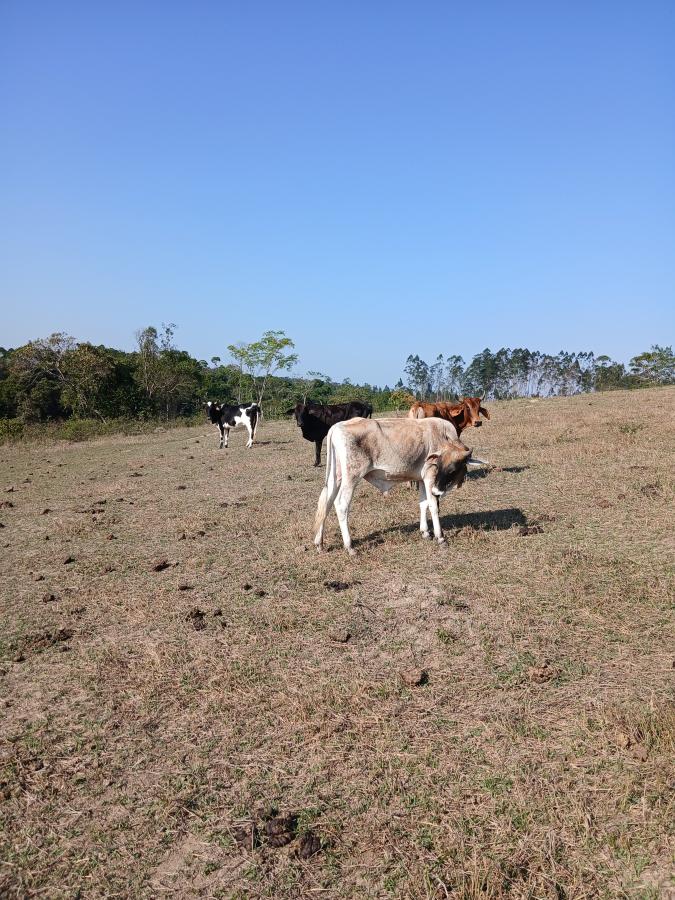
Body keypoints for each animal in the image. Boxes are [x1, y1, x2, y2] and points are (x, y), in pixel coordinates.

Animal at [314, 416, 488, 556]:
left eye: (452, 469)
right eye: (438, 466)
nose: (437, 490)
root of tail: (337, 426)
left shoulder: (421, 479)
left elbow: (423, 504)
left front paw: (425, 532)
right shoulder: (429, 477)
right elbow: (433, 506)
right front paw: (440, 537)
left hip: (336, 477)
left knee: (326, 503)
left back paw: (319, 543)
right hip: (352, 477)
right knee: (341, 505)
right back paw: (349, 546)